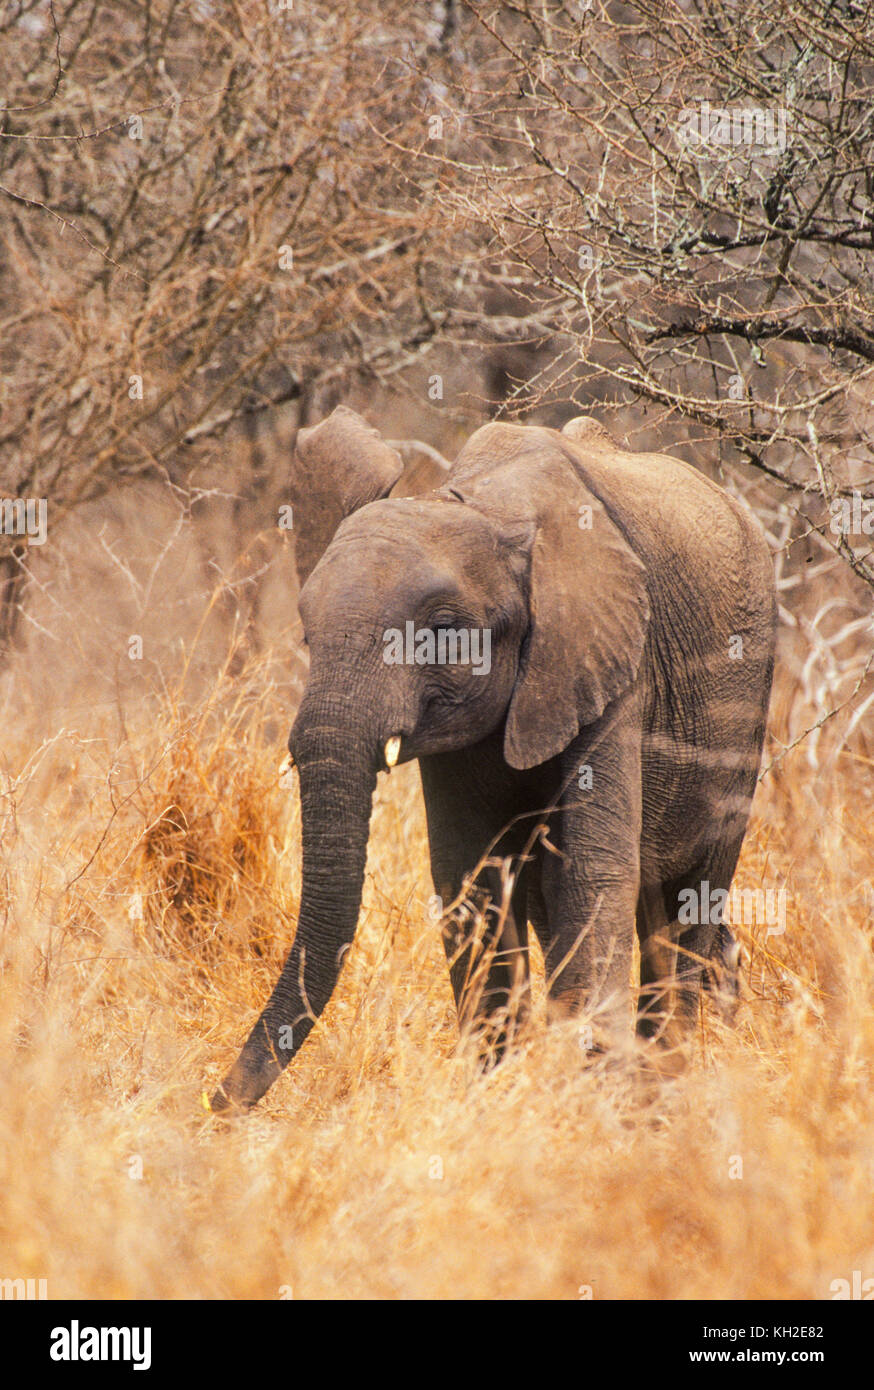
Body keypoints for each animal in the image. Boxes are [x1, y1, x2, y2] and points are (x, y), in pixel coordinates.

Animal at [211, 405, 776, 1111]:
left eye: (442, 634)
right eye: (309, 635)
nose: (212, 1103)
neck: (485, 506)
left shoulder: (614, 657)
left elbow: (591, 873)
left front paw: (591, 1096)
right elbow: (471, 879)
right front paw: (500, 1092)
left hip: (745, 708)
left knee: (688, 901)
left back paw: (665, 1078)